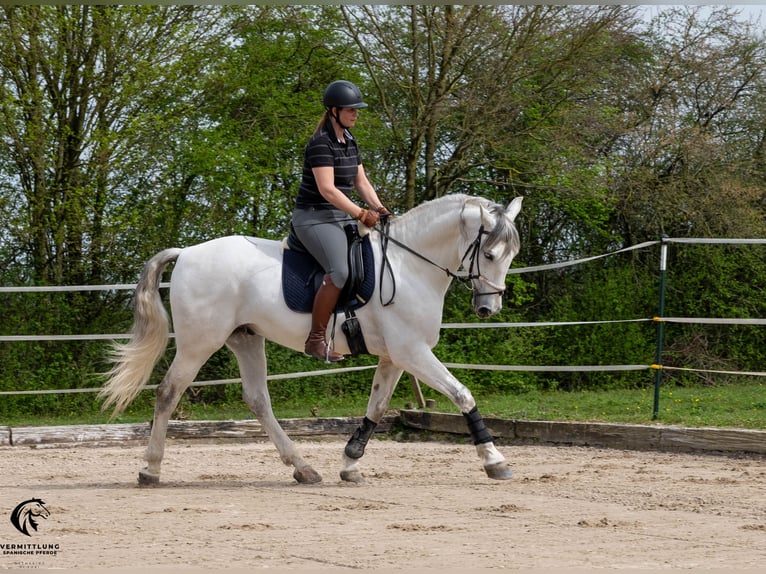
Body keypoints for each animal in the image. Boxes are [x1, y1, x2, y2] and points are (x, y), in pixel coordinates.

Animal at [100, 194, 520, 486]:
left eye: (512, 256)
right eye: (490, 253)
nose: (489, 308)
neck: (408, 266)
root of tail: (186, 251)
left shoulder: (394, 357)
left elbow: (377, 407)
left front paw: (350, 463)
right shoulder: (412, 352)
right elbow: (461, 394)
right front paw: (494, 460)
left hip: (246, 339)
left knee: (258, 400)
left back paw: (303, 468)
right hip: (198, 343)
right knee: (169, 392)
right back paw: (150, 469)